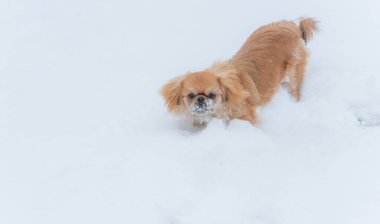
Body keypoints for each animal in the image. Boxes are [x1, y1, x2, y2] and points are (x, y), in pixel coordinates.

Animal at [161, 17, 318, 126]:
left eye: (212, 95)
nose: (200, 99)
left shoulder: (246, 117)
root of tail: (292, 25)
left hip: (293, 74)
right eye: (191, 96)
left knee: (295, 89)